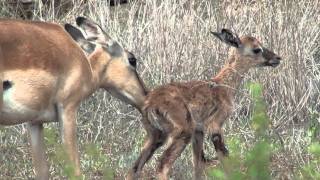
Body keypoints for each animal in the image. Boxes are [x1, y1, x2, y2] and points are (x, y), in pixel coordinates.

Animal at [127, 28, 280, 179]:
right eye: (256, 49)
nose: (277, 58)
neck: (223, 87)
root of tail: (150, 104)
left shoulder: (199, 132)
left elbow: (198, 164)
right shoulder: (215, 126)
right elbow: (225, 158)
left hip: (156, 136)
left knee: (135, 168)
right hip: (181, 133)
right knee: (163, 165)